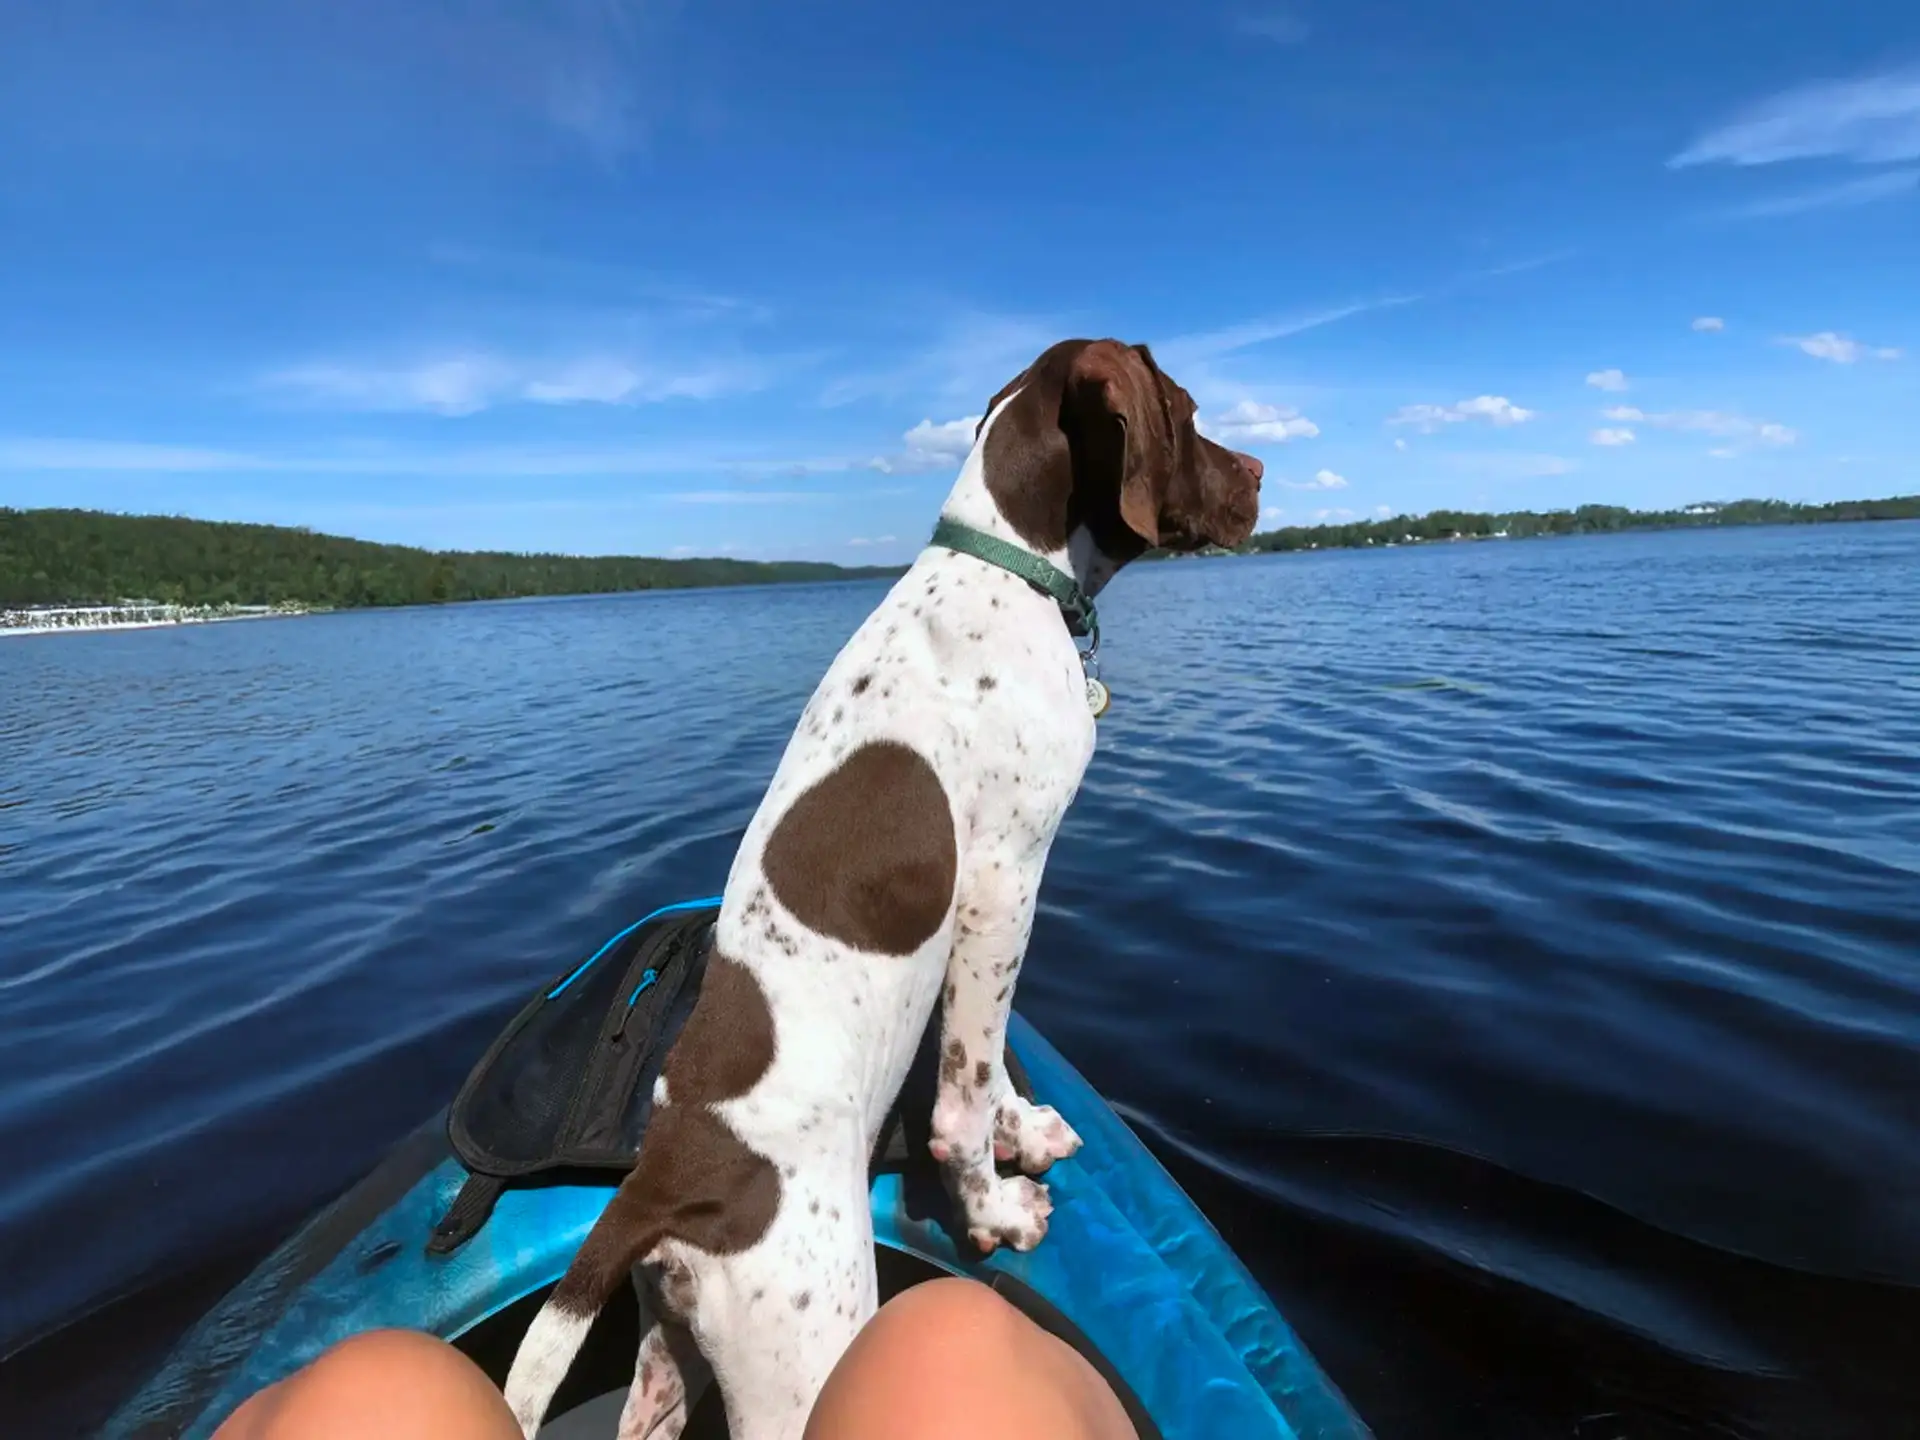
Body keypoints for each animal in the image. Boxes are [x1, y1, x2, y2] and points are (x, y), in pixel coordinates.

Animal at [503, 341, 1267, 1440]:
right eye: (1190, 411)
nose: (1261, 473)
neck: (1005, 564)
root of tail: (660, 1182)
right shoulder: (1004, 880)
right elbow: (968, 1080)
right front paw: (994, 1206)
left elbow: (986, 1053)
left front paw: (1023, 1132)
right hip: (803, 1356)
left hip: (668, 1349)